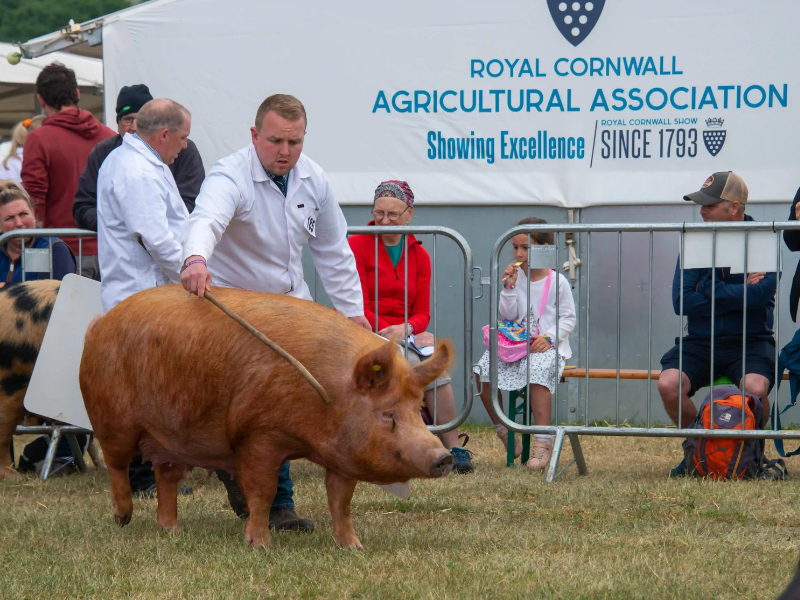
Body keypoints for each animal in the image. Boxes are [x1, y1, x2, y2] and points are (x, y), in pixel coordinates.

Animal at [83, 284, 456, 548]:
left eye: (417, 410)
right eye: (387, 414)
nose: (444, 457)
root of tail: (100, 322)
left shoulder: (339, 454)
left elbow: (341, 500)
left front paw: (353, 547)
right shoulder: (258, 435)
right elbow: (262, 491)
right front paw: (260, 545)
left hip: (173, 435)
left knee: (167, 478)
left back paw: (171, 530)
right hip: (112, 418)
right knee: (117, 466)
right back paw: (122, 518)